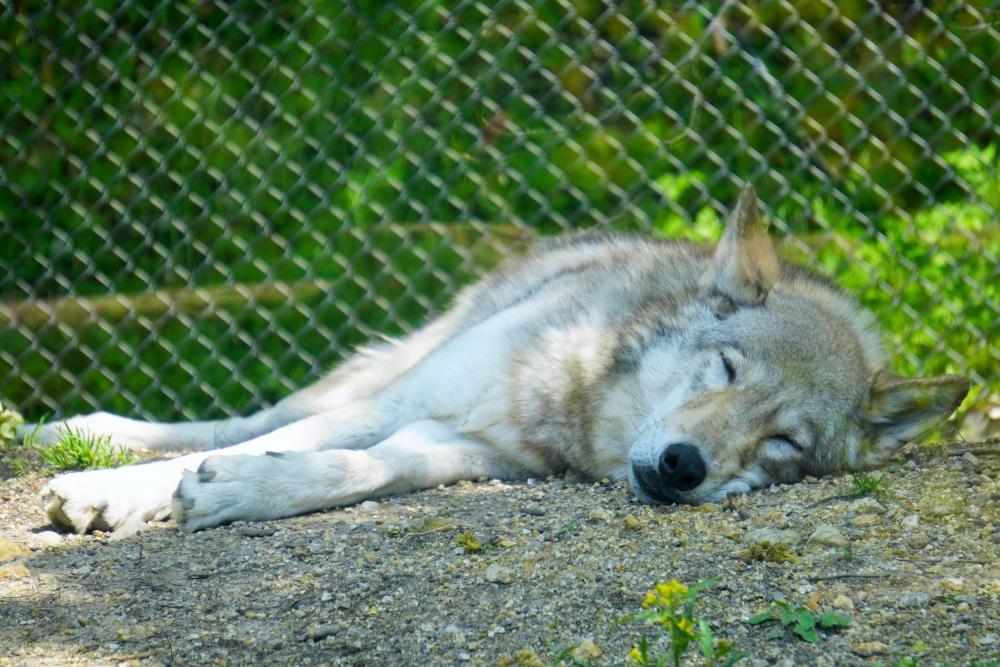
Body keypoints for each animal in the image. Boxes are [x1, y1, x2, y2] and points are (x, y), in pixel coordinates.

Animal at [21, 189, 968, 536]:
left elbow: (361, 469)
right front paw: (110, 491)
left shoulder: (466, 446)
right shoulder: (413, 398)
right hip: (395, 364)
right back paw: (76, 434)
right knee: (256, 417)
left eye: (783, 445)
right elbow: (273, 441)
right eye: (726, 368)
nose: (682, 467)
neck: (567, 400)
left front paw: (246, 492)